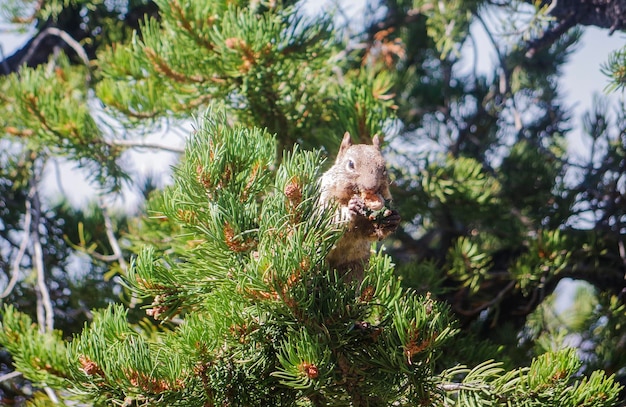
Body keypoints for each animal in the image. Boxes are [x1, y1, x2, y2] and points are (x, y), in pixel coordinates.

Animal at [316, 132, 400, 282]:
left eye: (384, 168)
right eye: (350, 164)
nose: (370, 187)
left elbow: (368, 232)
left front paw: (392, 220)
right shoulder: (323, 196)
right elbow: (327, 218)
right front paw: (351, 209)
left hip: (356, 265)